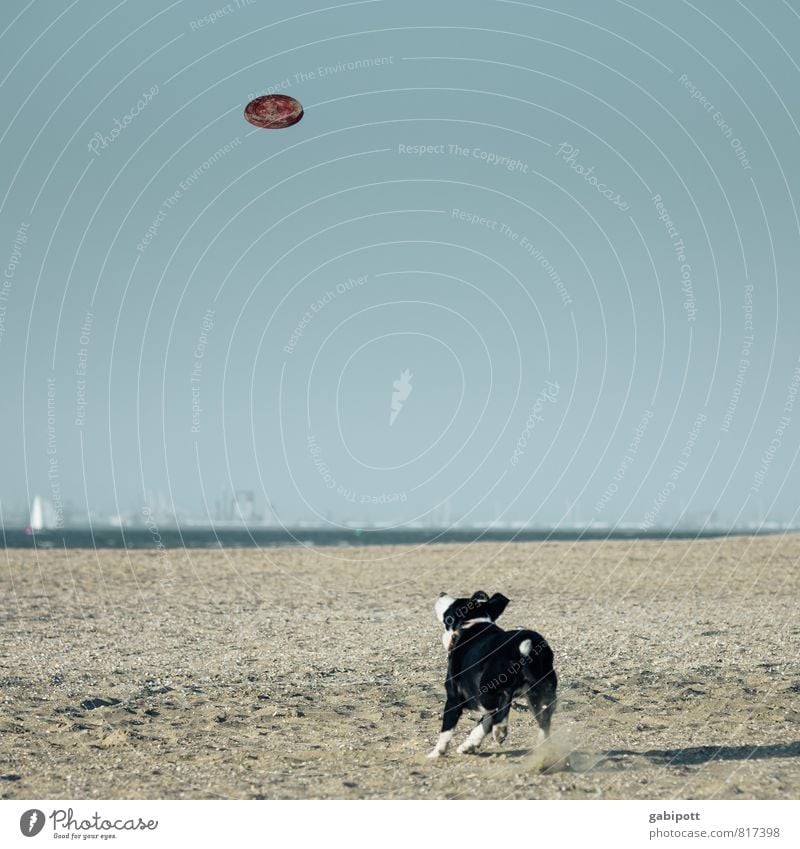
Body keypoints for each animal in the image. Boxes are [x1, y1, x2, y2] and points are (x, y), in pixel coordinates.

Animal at [424, 588, 556, 756]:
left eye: (454, 604)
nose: (442, 593)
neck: (474, 622)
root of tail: (526, 646)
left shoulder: (453, 697)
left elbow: (446, 731)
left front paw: (436, 753)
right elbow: (483, 724)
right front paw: (469, 745)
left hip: (487, 689)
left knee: (503, 698)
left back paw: (500, 730)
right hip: (539, 693)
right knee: (544, 720)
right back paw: (541, 747)